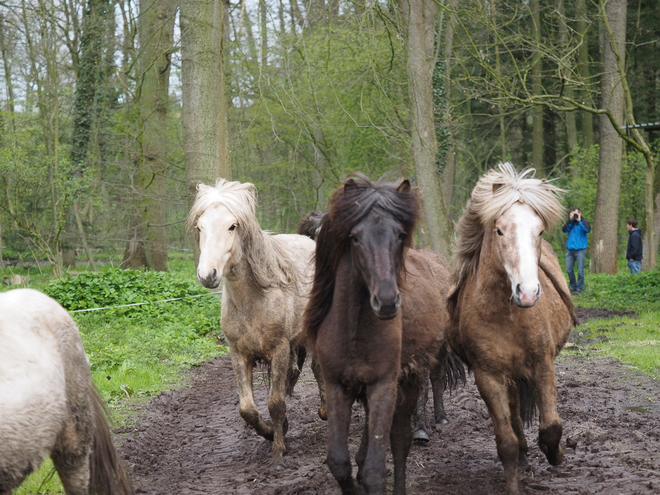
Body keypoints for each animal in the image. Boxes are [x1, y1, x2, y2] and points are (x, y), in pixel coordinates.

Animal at [187, 180, 326, 466]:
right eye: (200, 227)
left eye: (232, 226)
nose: (207, 275)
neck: (254, 299)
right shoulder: (239, 354)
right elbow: (248, 410)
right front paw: (272, 431)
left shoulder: (280, 351)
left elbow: (275, 403)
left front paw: (278, 450)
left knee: (319, 368)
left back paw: (325, 410)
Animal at [448, 164, 576, 495]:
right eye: (499, 230)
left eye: (539, 231)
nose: (527, 293)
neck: (506, 317)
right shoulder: (488, 376)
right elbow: (505, 441)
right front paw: (514, 478)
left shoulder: (543, 365)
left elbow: (551, 427)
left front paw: (556, 455)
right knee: (515, 416)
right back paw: (523, 457)